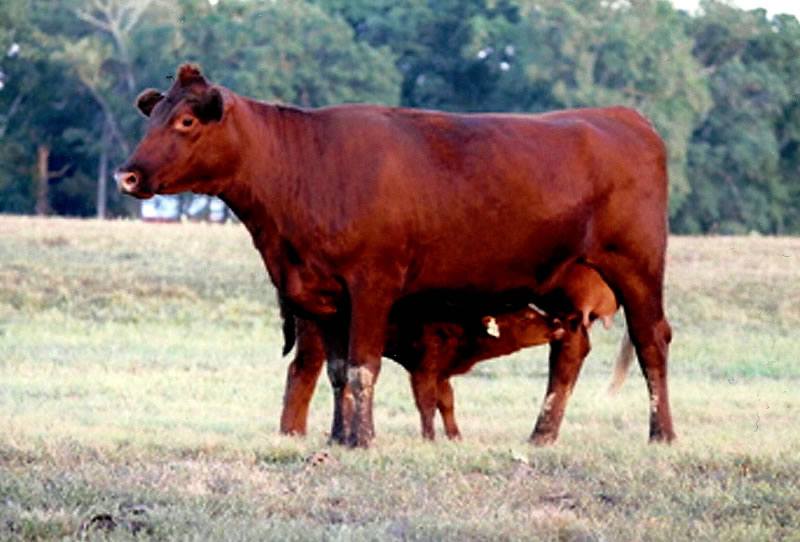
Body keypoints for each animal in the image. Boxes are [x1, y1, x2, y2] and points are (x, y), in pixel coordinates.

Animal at [115, 63, 672, 448]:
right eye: (154, 118)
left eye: (187, 121)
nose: (127, 174)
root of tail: (622, 117)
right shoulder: (323, 295)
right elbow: (338, 371)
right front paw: (339, 437)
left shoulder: (372, 284)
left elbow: (363, 367)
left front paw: (362, 440)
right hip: (562, 281)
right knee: (569, 351)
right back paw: (541, 436)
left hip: (636, 265)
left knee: (651, 341)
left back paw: (661, 435)